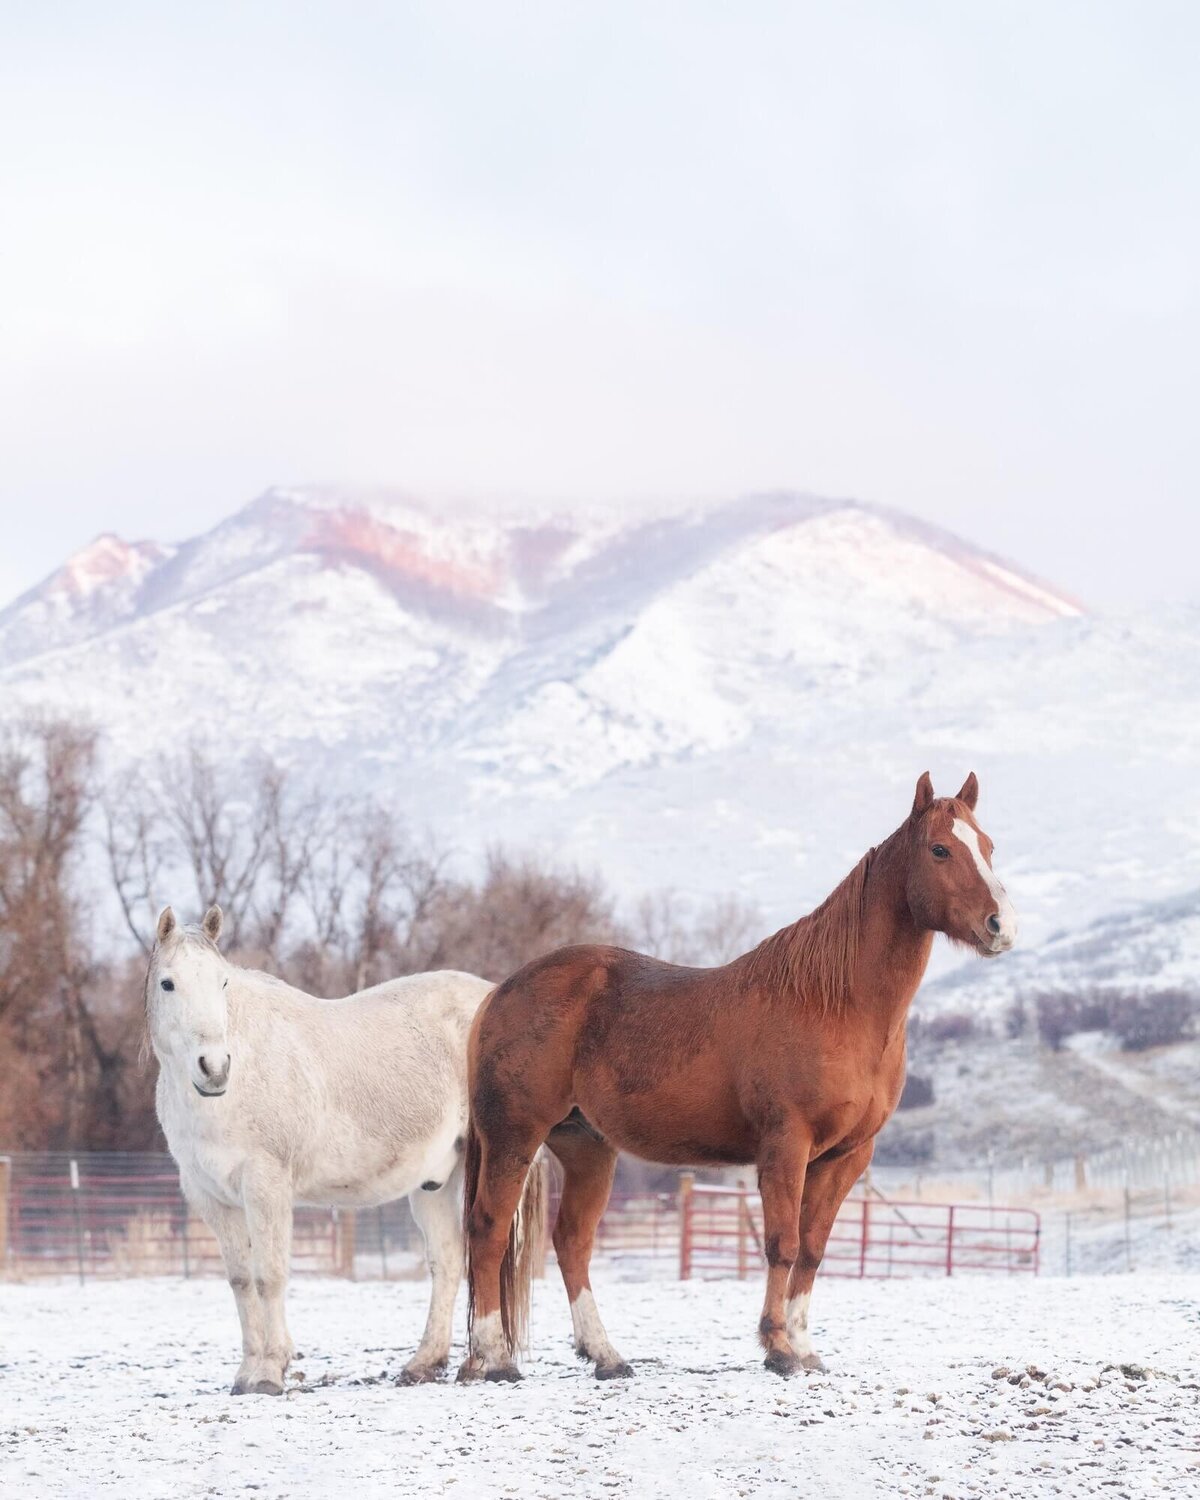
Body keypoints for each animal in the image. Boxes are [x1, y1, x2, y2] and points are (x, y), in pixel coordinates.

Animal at [146, 905, 546, 1395]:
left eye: (222, 982)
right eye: (168, 983)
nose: (215, 1068)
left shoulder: (266, 1185)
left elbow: (269, 1275)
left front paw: (269, 1372)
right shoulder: (210, 1196)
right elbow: (241, 1281)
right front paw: (246, 1373)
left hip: (501, 1164)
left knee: (495, 1249)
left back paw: (493, 1362)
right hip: (436, 1182)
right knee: (450, 1260)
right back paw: (427, 1364)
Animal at [458, 772, 1016, 1383]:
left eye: (989, 847)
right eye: (940, 849)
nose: (1001, 926)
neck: (837, 1004)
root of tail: (499, 993)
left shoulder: (847, 1157)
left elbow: (813, 1249)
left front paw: (804, 1347)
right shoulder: (786, 1147)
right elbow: (782, 1244)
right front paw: (777, 1347)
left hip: (587, 1146)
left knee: (572, 1241)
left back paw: (605, 1356)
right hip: (514, 1137)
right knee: (488, 1229)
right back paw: (494, 1358)